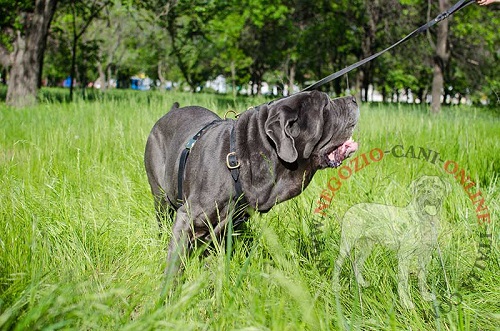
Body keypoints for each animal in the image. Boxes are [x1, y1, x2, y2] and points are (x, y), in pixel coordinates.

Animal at [334, 176, 452, 312]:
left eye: (437, 186)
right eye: (421, 185)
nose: (426, 191)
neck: (425, 219)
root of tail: (350, 209)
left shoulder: (425, 255)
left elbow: (422, 276)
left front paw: (425, 296)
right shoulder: (404, 256)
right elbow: (403, 282)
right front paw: (406, 304)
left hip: (366, 246)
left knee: (357, 263)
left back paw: (362, 283)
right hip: (347, 243)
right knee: (338, 263)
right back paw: (335, 286)